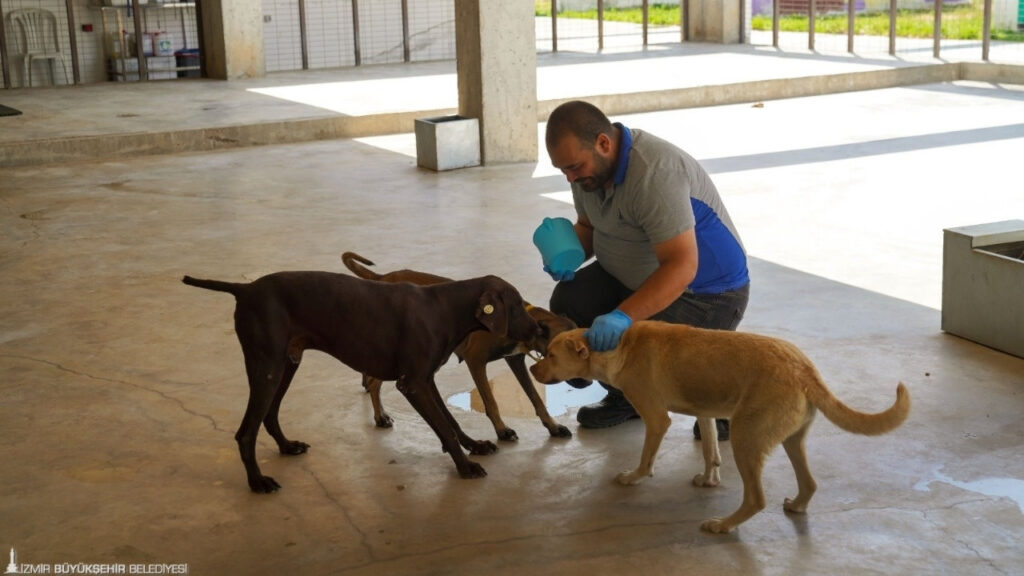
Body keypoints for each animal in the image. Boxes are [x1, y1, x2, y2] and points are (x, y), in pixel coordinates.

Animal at [183, 268, 540, 487]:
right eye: (517, 306)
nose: (539, 331)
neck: (445, 308)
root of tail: (243, 289)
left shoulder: (427, 379)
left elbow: (450, 422)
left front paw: (475, 445)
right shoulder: (413, 384)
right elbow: (444, 427)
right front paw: (465, 466)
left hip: (286, 364)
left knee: (269, 416)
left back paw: (286, 446)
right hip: (266, 367)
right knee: (246, 432)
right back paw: (257, 482)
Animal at [342, 251, 577, 438]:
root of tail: (384, 277)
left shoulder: (515, 361)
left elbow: (536, 398)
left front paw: (552, 426)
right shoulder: (476, 361)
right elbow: (491, 402)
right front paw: (501, 430)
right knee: (374, 383)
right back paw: (379, 415)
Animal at [528, 319, 913, 532]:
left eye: (551, 355)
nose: (531, 368)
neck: (617, 345)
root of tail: (804, 368)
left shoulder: (657, 419)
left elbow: (646, 458)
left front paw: (634, 477)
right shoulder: (706, 412)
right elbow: (711, 450)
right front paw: (708, 479)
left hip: (746, 438)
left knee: (756, 499)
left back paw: (723, 525)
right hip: (790, 440)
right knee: (810, 483)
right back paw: (796, 505)